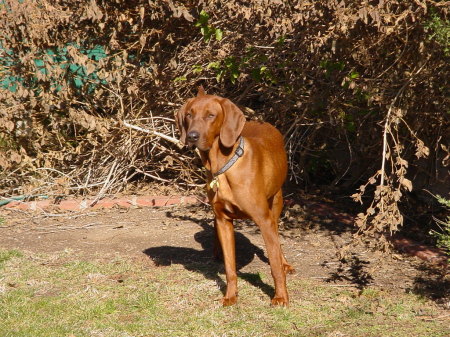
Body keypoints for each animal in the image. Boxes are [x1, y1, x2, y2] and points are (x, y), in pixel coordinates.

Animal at [174, 87, 294, 304]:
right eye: (189, 115)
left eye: (211, 115)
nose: (192, 136)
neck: (222, 166)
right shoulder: (224, 220)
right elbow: (230, 268)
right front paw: (230, 296)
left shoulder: (263, 220)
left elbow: (274, 266)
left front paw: (280, 297)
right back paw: (217, 253)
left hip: (276, 202)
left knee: (277, 239)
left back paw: (285, 262)